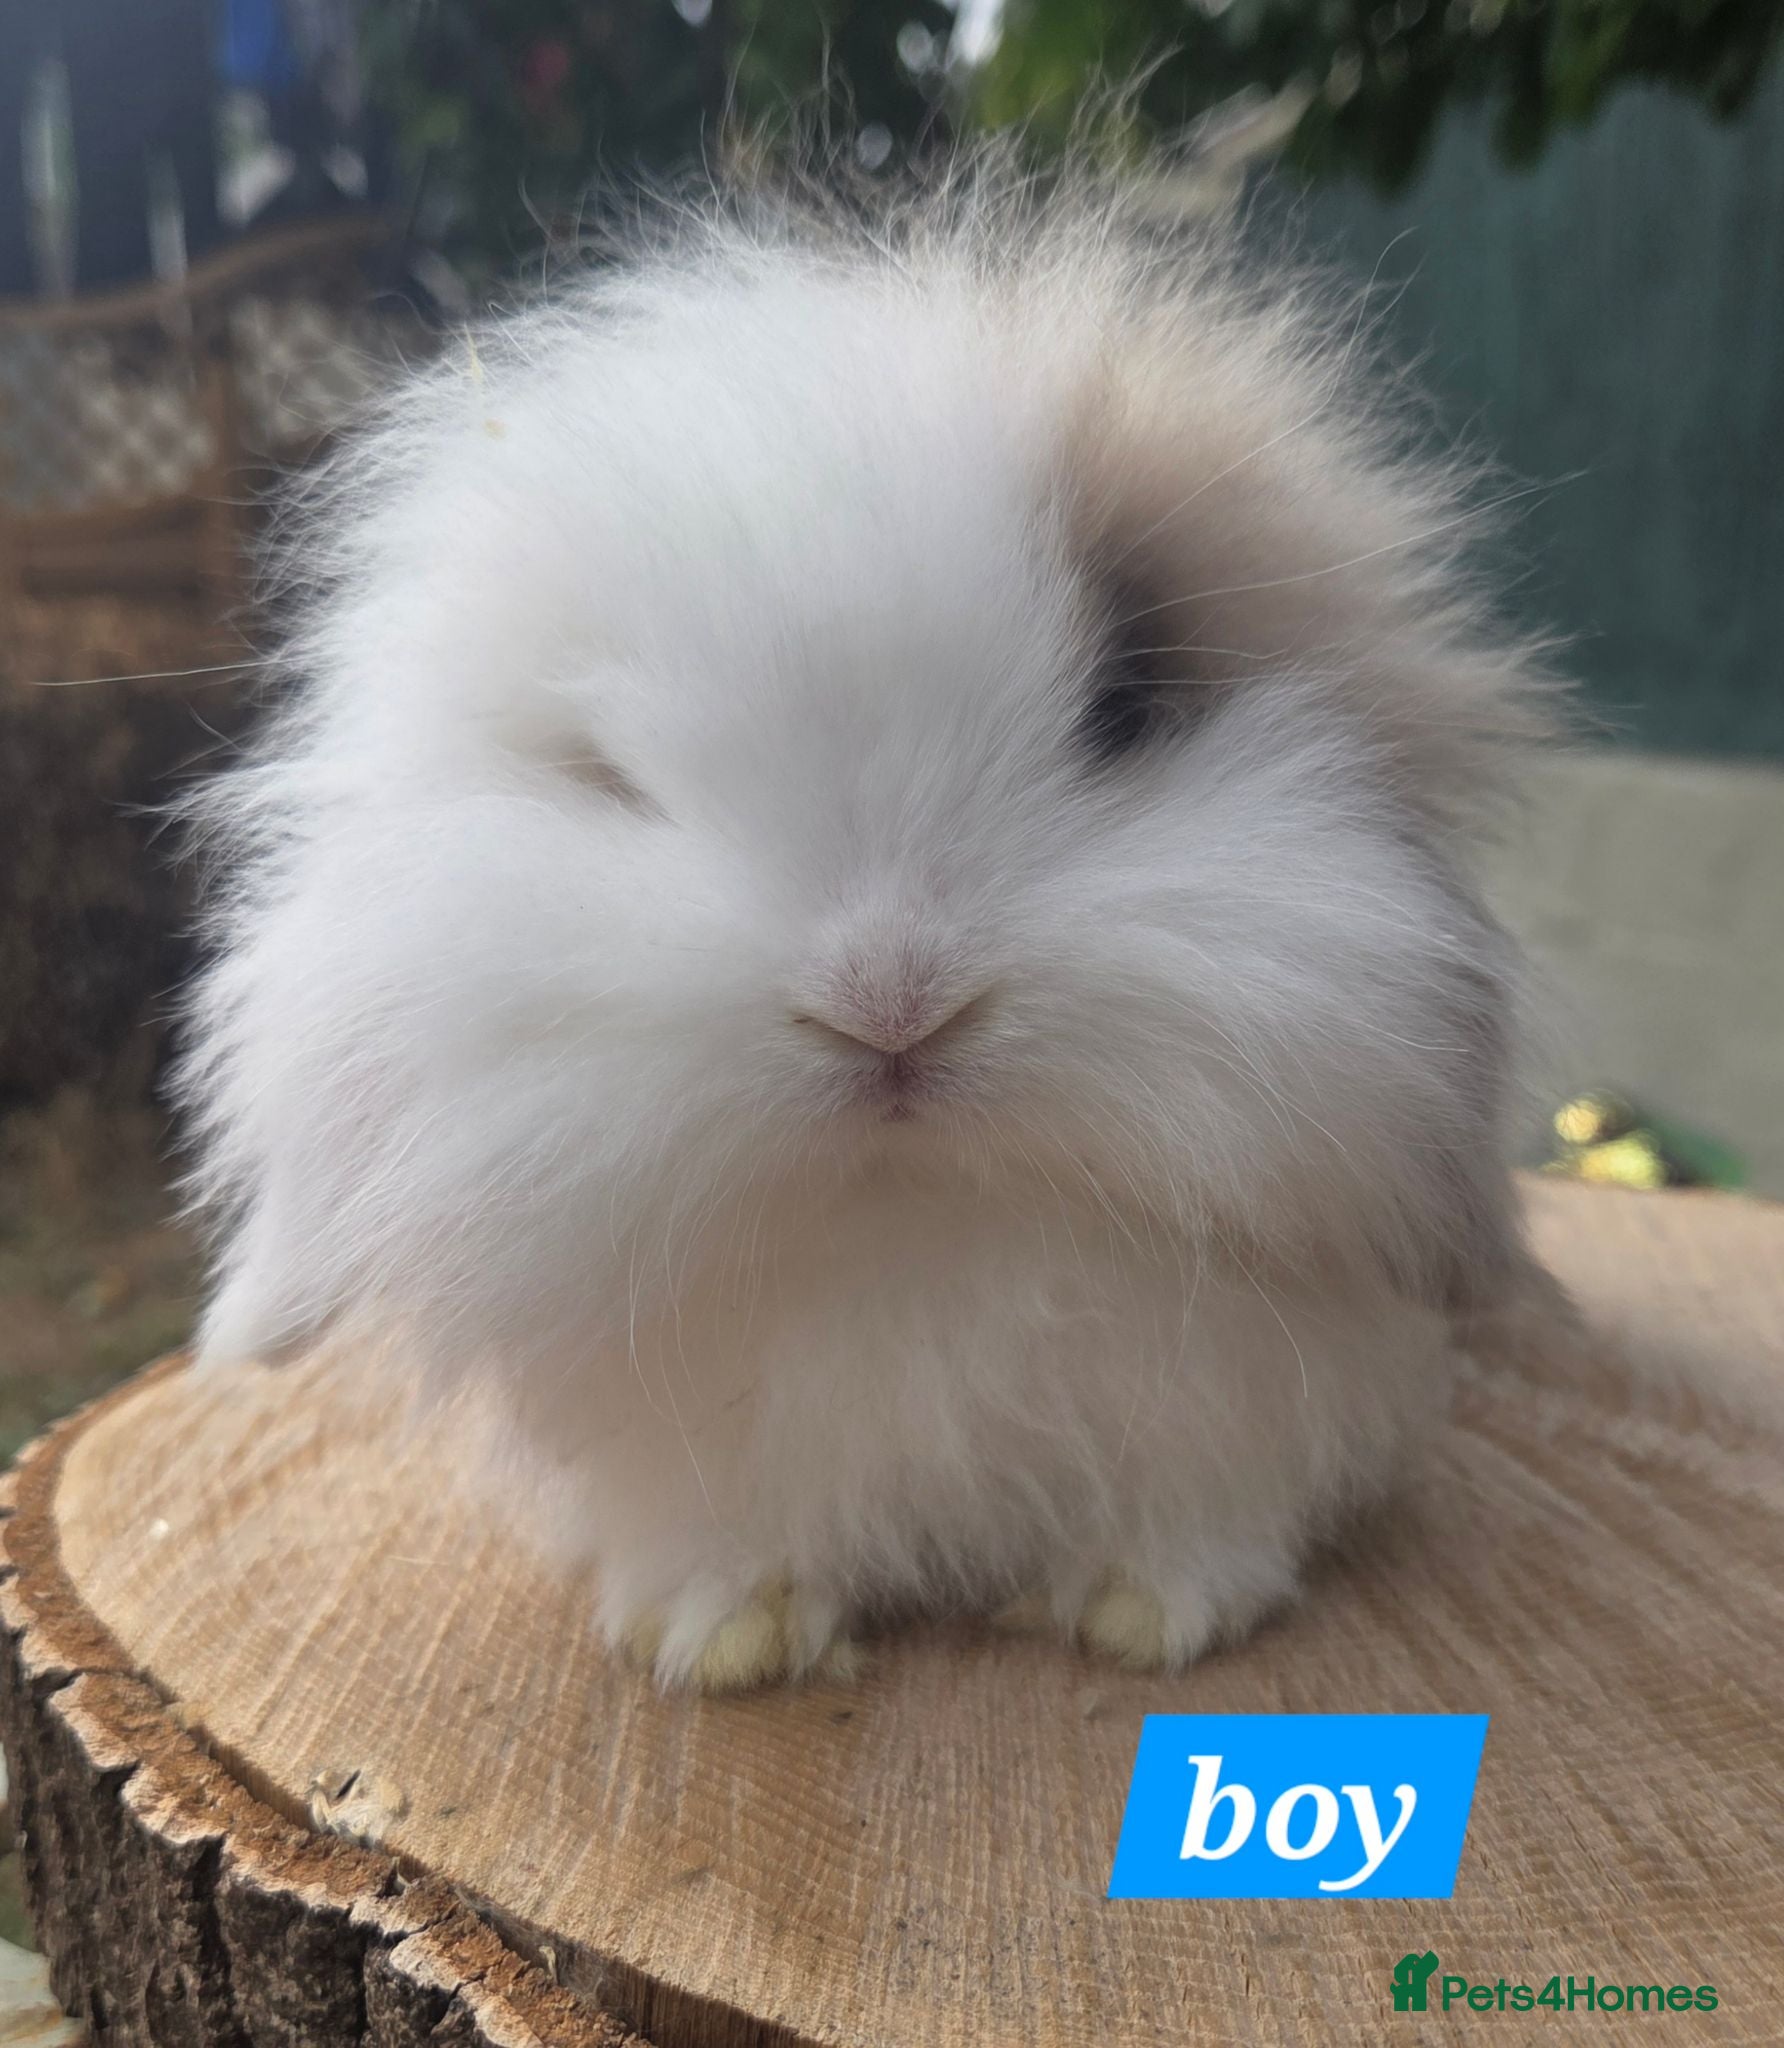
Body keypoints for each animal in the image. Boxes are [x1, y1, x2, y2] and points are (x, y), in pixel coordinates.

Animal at [180, 162, 1559, 1692]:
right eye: (612, 772)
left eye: (1124, 704)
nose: (890, 1001)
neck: (912, 1234)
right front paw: (725, 1641)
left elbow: (1199, 1510)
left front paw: (1146, 1617)